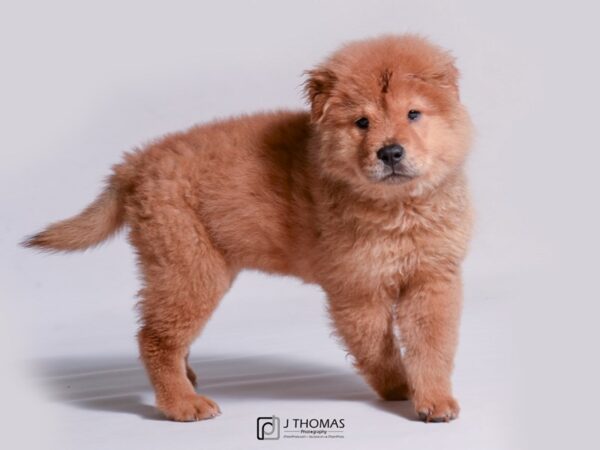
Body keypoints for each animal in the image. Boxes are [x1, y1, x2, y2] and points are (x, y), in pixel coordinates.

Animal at [23, 34, 474, 422]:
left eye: (413, 114)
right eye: (362, 123)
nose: (390, 152)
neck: (400, 207)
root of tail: (134, 164)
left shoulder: (433, 278)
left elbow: (432, 346)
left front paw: (433, 399)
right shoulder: (358, 288)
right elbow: (378, 348)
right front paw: (398, 387)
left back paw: (187, 382)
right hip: (189, 269)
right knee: (155, 337)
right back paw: (183, 403)